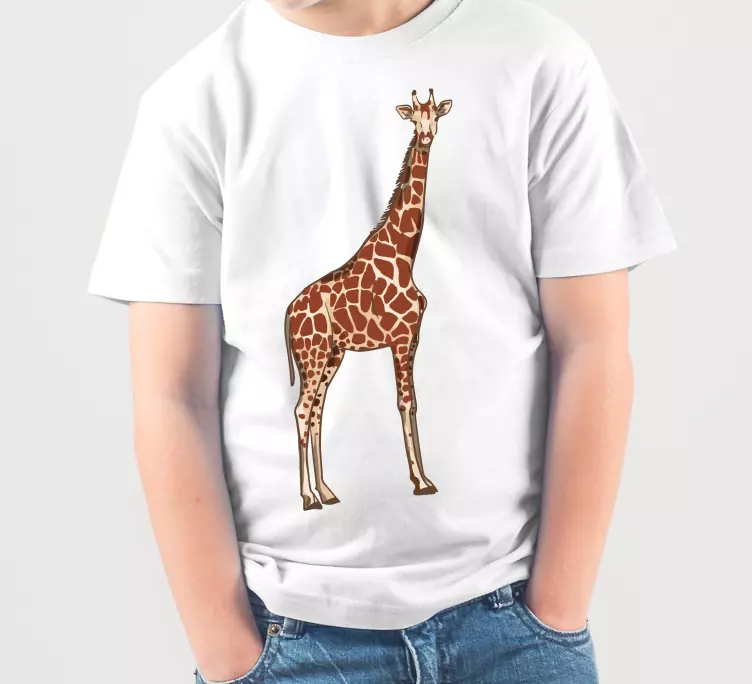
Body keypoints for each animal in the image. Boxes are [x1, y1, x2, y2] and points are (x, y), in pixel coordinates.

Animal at [284, 89, 453, 511]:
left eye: (436, 115)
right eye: (415, 119)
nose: (427, 136)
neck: (407, 255)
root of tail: (288, 312)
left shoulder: (413, 339)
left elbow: (415, 403)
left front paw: (425, 478)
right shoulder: (400, 339)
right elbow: (404, 403)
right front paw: (420, 482)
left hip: (332, 355)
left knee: (317, 411)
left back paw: (327, 491)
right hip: (312, 355)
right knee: (301, 410)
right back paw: (307, 497)